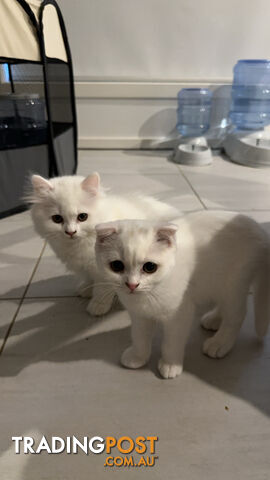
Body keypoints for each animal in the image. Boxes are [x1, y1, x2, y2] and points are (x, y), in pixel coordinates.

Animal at [29, 172, 177, 316]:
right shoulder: (85, 267)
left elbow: (101, 290)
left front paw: (97, 306)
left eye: (82, 217)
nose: (70, 232)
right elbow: (89, 280)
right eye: (57, 219)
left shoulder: (102, 270)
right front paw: (85, 289)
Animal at [95, 212, 270, 380]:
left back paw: (220, 342)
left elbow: (172, 342)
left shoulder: (180, 314)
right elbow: (139, 336)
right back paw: (214, 320)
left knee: (237, 315)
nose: (132, 285)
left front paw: (171, 364)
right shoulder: (139, 316)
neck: (146, 296)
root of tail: (258, 228)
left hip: (233, 286)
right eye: (117, 266)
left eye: (150, 267)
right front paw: (138, 357)